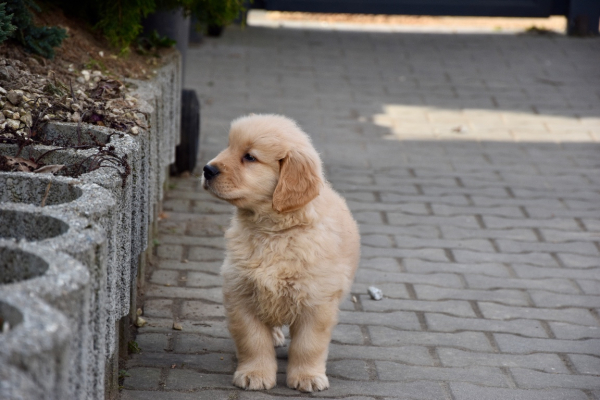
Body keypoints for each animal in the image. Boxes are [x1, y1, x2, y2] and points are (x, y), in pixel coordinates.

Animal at [202, 114, 360, 392]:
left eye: (250, 157)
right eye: (229, 147)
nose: (206, 170)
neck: (274, 233)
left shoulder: (316, 300)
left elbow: (308, 345)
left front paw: (307, 376)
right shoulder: (241, 293)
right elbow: (253, 340)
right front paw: (255, 373)